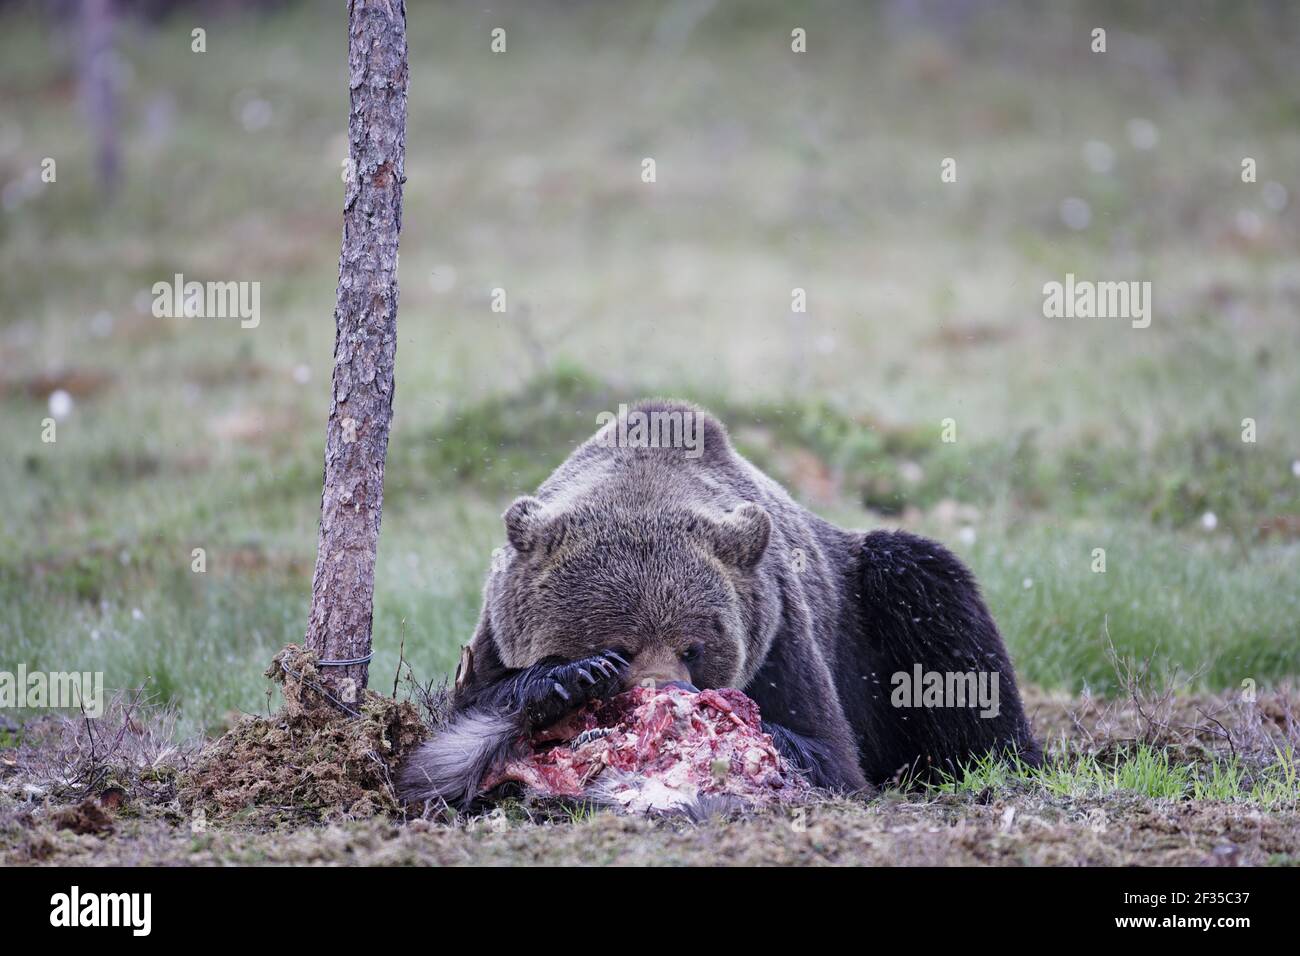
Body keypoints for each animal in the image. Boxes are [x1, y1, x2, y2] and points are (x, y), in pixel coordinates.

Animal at [399, 399, 1039, 807]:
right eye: (619, 643)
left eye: (695, 647)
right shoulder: (496, 629)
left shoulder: (782, 635)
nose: (669, 693)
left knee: (937, 607)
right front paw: (568, 677)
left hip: (868, 602)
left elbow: (834, 755)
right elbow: (465, 712)